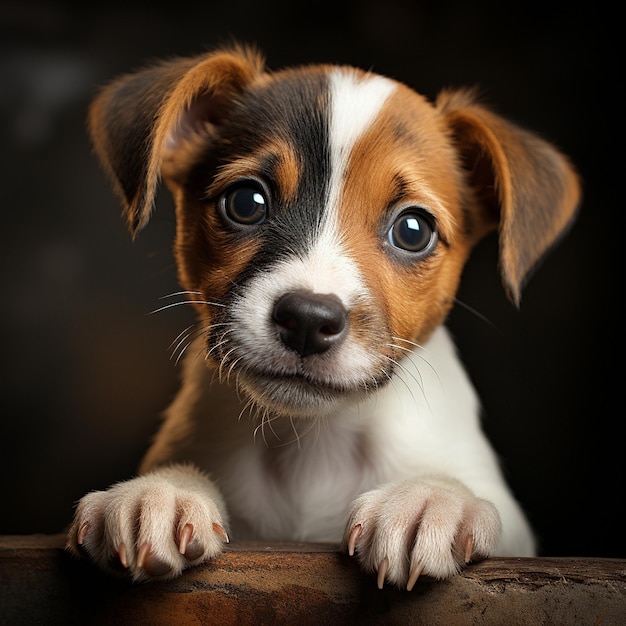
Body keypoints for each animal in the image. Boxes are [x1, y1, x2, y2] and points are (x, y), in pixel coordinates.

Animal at [66, 45, 576, 588]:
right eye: (245, 202)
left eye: (413, 230)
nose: (309, 320)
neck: (312, 441)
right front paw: (160, 490)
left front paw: (433, 497)